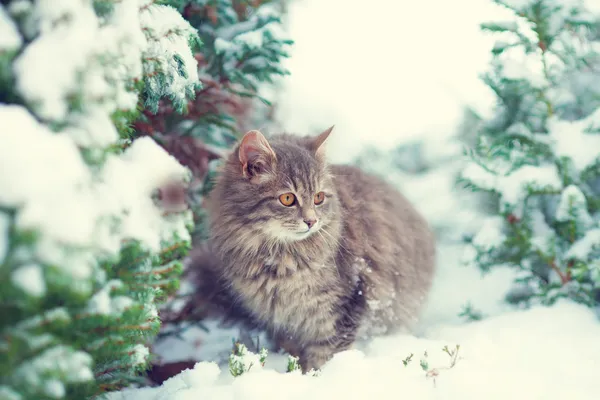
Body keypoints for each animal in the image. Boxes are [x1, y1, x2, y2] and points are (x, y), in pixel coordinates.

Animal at [197, 127, 436, 372]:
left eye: (319, 198)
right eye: (287, 198)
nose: (312, 221)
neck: (278, 259)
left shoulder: (345, 304)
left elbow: (326, 354)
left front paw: (316, 375)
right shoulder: (280, 318)